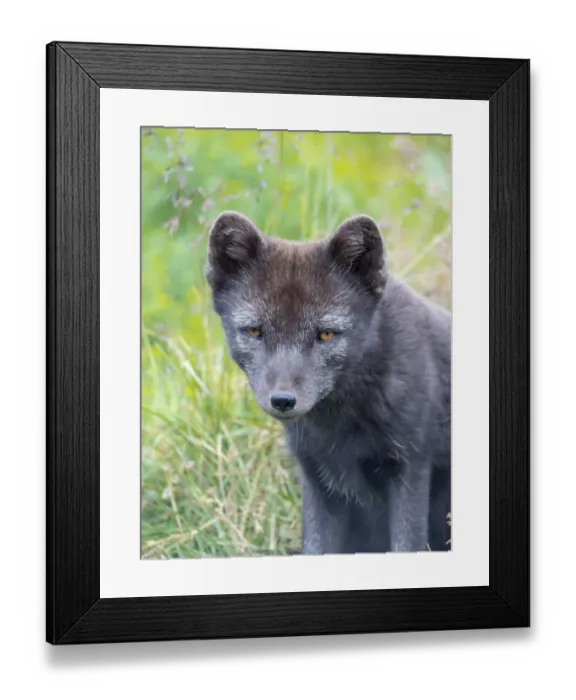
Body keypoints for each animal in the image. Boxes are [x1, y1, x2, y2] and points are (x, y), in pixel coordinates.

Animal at [205, 211, 451, 555]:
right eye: (254, 331)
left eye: (325, 334)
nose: (283, 400)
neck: (338, 428)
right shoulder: (317, 480)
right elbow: (315, 548)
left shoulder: (410, 468)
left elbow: (406, 544)